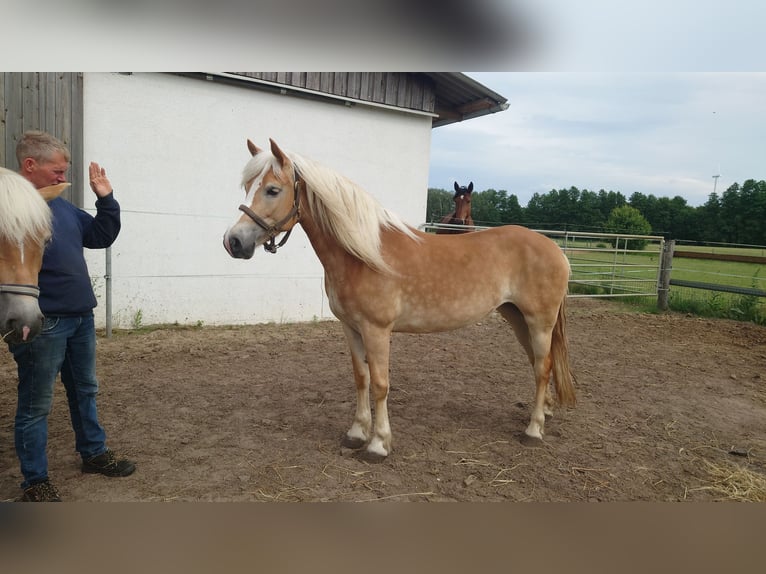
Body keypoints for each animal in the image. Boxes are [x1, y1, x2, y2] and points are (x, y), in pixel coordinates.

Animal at [222, 140, 576, 464]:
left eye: (272, 190)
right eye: (247, 186)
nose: (233, 242)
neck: (362, 255)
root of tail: (555, 249)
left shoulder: (377, 330)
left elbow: (380, 384)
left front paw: (378, 445)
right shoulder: (351, 328)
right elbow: (361, 378)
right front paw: (356, 433)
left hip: (539, 321)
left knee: (542, 367)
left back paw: (533, 430)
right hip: (517, 317)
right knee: (539, 364)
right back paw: (545, 413)